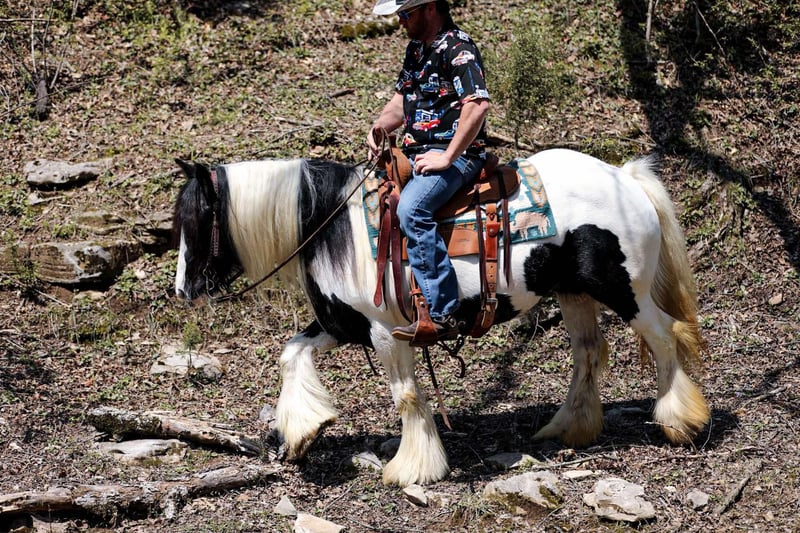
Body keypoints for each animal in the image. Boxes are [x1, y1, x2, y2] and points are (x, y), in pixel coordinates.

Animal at [172, 148, 710, 487]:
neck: (333, 229)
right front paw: (304, 430)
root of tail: (625, 178)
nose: (181, 290)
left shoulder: (387, 333)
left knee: (665, 338)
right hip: (573, 292)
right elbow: (291, 353)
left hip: (625, 291)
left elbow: (407, 396)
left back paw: (679, 421)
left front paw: (413, 467)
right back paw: (570, 428)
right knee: (589, 352)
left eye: (197, 221)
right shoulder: (342, 324)